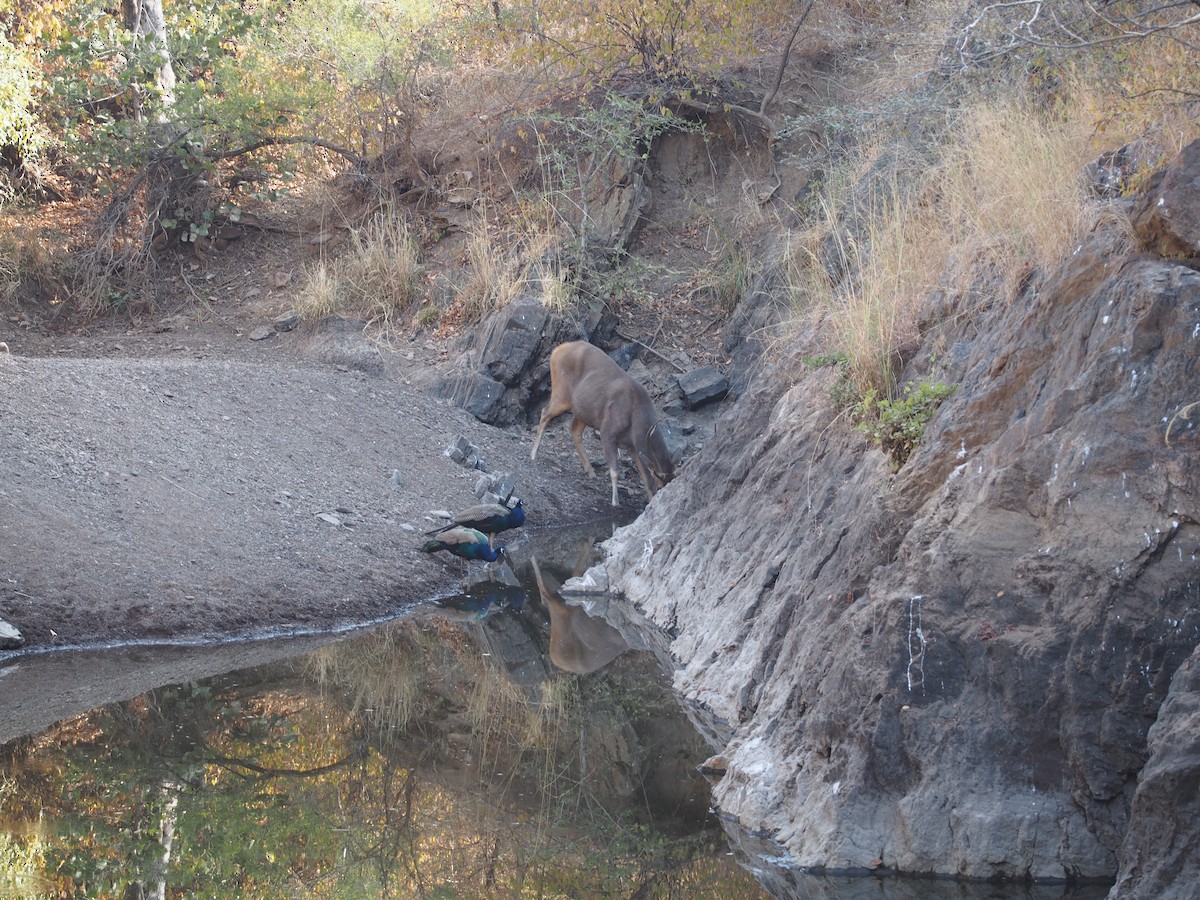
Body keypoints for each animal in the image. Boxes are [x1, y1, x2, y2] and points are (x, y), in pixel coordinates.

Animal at [532, 340, 676, 508]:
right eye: (660, 487)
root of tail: (557, 350)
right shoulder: (607, 432)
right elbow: (614, 471)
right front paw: (615, 501)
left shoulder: (634, 446)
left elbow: (646, 478)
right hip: (561, 393)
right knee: (545, 413)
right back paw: (533, 454)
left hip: (584, 410)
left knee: (573, 429)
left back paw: (590, 471)